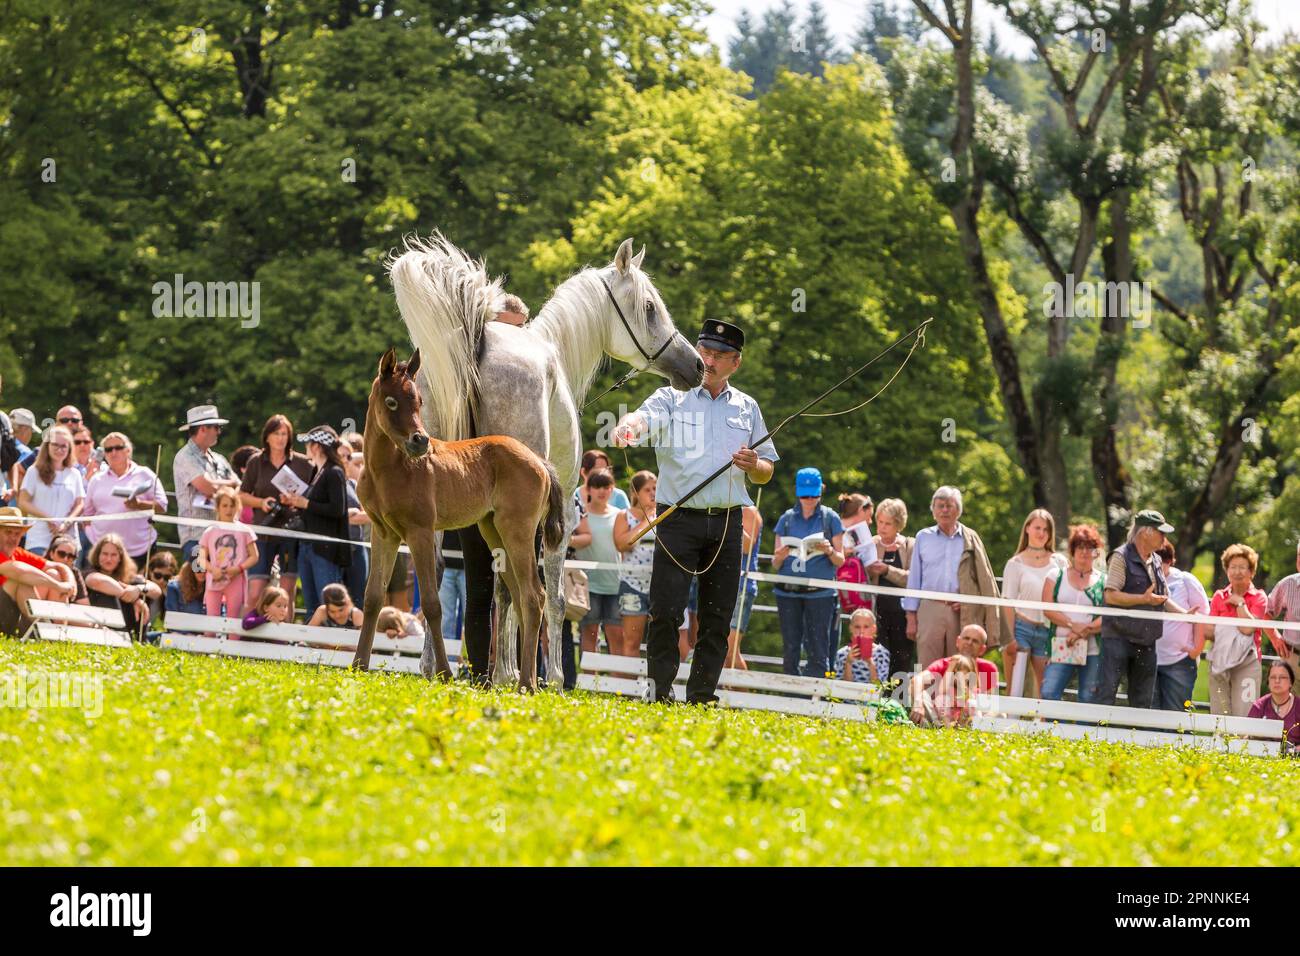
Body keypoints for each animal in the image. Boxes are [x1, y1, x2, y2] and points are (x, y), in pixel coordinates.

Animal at [353, 347, 565, 691]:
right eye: (392, 401)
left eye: (419, 401)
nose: (420, 441)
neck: (388, 469)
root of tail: (541, 462)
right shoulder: (383, 532)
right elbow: (372, 597)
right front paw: (358, 665)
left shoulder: (420, 531)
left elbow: (431, 603)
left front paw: (443, 672)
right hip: (494, 532)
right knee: (521, 596)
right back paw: (526, 681)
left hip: (518, 531)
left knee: (535, 595)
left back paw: (526, 684)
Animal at [388, 233, 703, 686]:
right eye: (648, 307)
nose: (695, 364)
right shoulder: (561, 513)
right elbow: (548, 594)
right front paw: (548, 675)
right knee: (510, 584)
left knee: (436, 570)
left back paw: (434, 667)